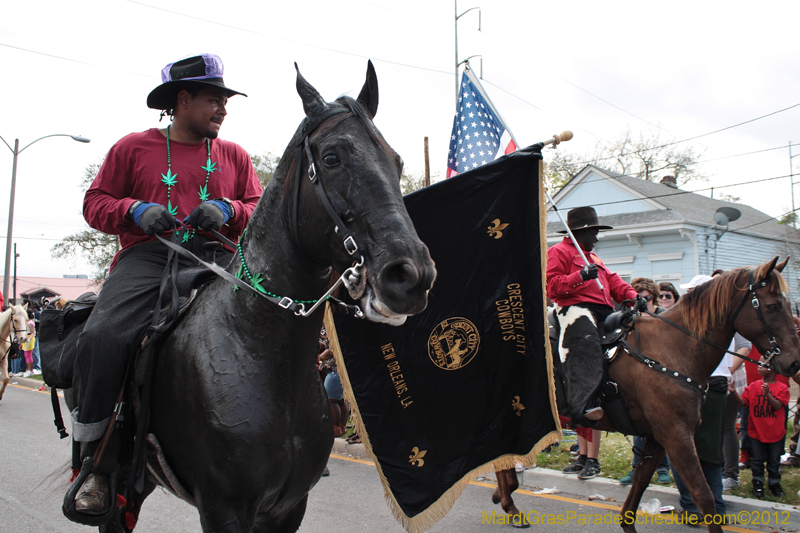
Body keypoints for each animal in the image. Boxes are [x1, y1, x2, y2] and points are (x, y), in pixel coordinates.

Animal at [86, 63, 434, 532]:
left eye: (396, 161)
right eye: (331, 158)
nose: (412, 275)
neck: (257, 349)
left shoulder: (288, 507)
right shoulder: (223, 508)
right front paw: (149, 214)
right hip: (123, 479)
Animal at [494, 256, 800, 528]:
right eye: (773, 306)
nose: (793, 362)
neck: (675, 347)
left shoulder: (657, 439)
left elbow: (638, 489)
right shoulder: (677, 437)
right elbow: (705, 498)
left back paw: (506, 498)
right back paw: (509, 502)